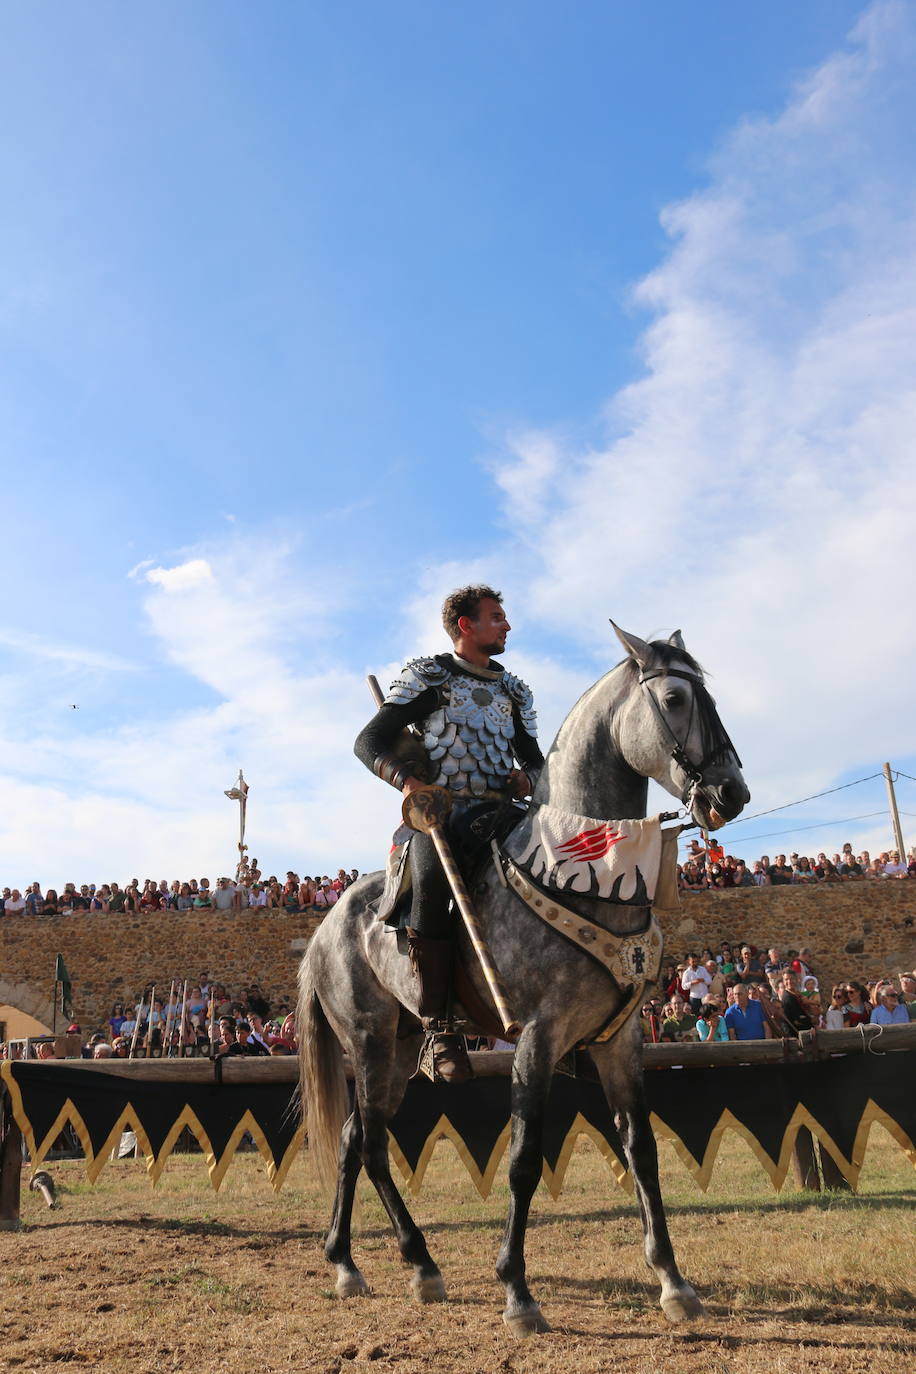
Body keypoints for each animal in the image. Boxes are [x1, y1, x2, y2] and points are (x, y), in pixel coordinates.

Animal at [298, 629, 747, 1335]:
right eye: (675, 699)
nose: (731, 794)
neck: (584, 872)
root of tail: (324, 927)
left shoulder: (620, 1040)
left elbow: (641, 1149)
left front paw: (673, 1282)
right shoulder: (537, 1036)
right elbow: (524, 1157)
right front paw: (517, 1291)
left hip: (399, 1044)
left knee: (351, 1140)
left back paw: (346, 1261)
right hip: (367, 1039)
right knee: (370, 1146)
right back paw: (419, 1264)